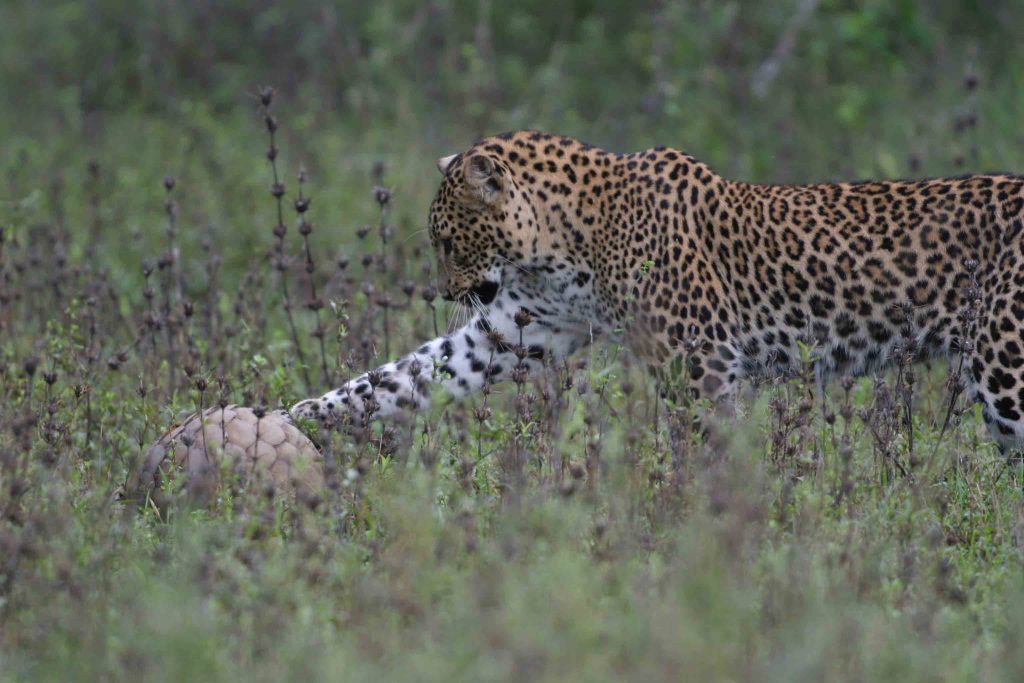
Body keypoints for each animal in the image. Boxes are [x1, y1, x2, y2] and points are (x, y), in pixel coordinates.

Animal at [292, 131, 1024, 454]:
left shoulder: (701, 360)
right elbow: (402, 375)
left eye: (447, 240)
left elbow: (705, 447)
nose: (442, 289)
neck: (563, 240)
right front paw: (295, 418)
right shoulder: (513, 331)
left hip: (1005, 368)